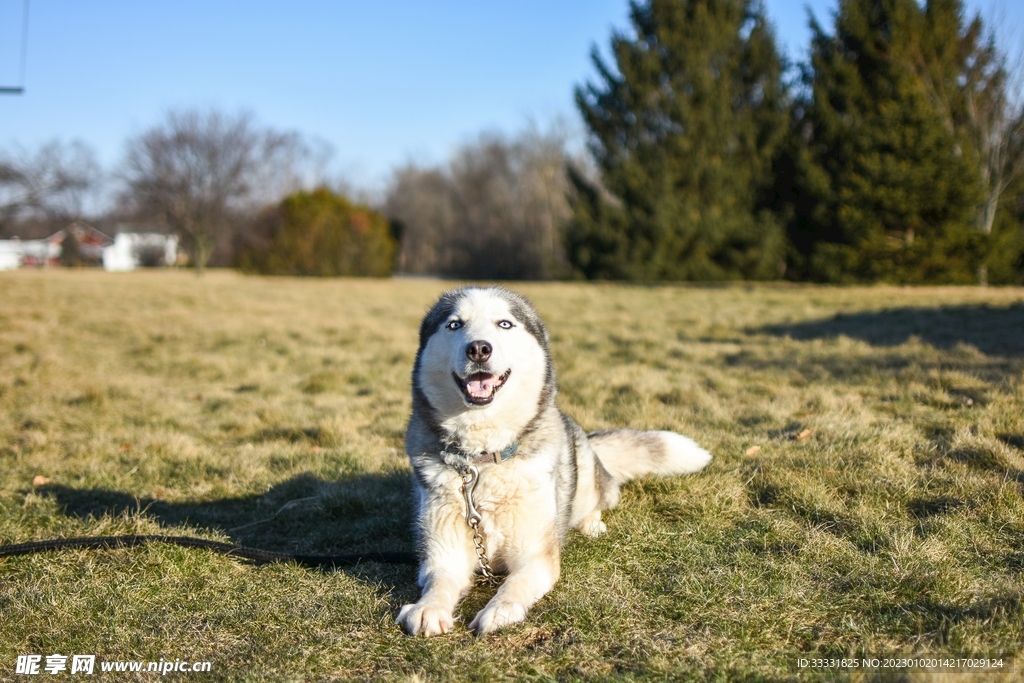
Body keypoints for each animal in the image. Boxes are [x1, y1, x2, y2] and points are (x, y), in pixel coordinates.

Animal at [395, 286, 708, 634]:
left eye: (504, 323)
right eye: (454, 324)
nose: (478, 349)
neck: (482, 460)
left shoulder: (536, 557)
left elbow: (513, 585)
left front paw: (500, 609)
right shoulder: (442, 555)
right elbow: (439, 582)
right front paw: (428, 608)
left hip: (584, 478)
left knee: (595, 502)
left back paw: (591, 524)